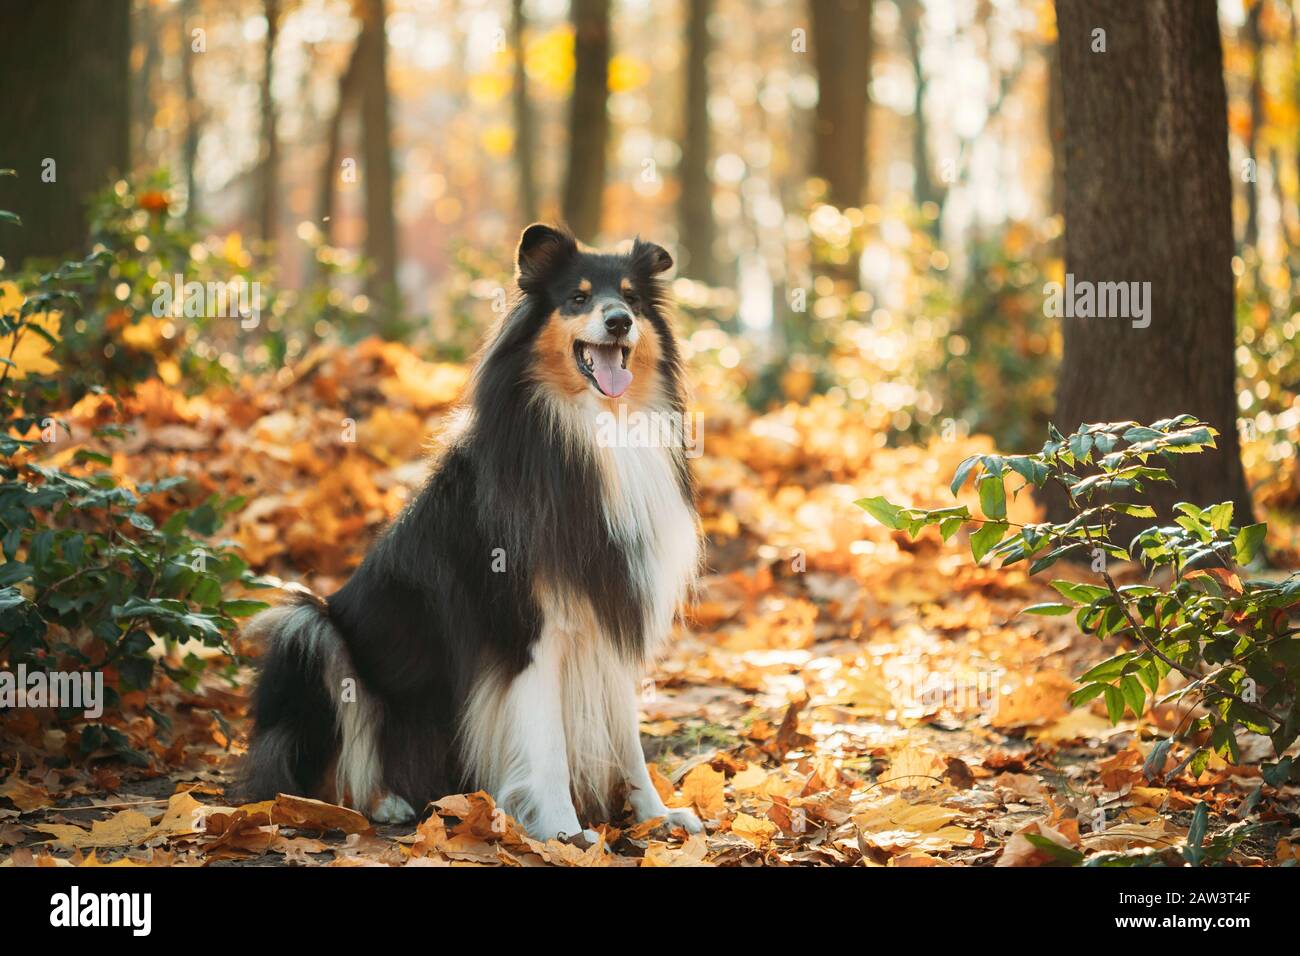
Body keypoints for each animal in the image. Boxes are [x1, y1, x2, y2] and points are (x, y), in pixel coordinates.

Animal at [241, 222, 702, 837]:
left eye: (631, 298)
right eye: (578, 298)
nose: (618, 322)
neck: (596, 430)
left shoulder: (608, 616)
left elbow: (628, 740)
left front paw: (656, 816)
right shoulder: (526, 632)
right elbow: (546, 747)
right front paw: (563, 833)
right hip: (309, 628)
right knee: (321, 771)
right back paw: (379, 802)